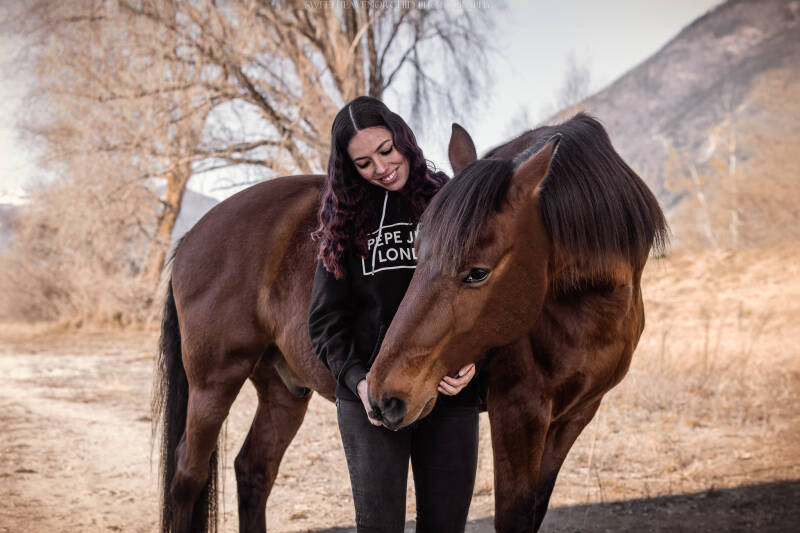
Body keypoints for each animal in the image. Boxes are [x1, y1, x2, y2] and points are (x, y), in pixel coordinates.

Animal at [153, 112, 667, 533]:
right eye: (418, 251)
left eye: (477, 272)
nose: (383, 395)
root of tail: (191, 236)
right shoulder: (518, 412)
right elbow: (513, 517)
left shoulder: (575, 416)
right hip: (214, 383)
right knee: (187, 476)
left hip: (284, 389)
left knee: (253, 471)